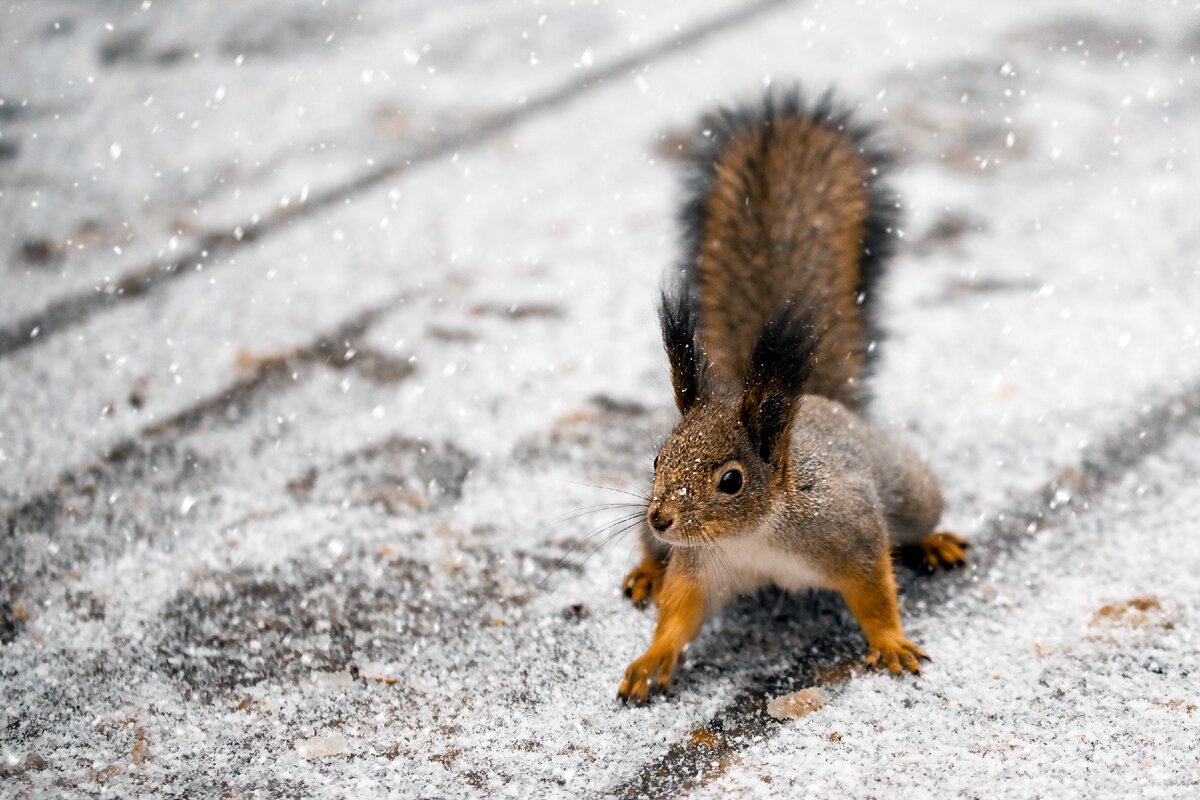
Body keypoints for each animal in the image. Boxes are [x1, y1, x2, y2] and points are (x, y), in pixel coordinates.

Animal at [619, 84, 964, 705]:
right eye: (657, 459)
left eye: (731, 481)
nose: (661, 518)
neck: (752, 537)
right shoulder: (698, 565)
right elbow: (678, 613)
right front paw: (651, 658)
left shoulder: (848, 529)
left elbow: (875, 589)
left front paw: (891, 641)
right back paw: (646, 569)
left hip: (910, 488)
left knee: (917, 517)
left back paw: (934, 541)